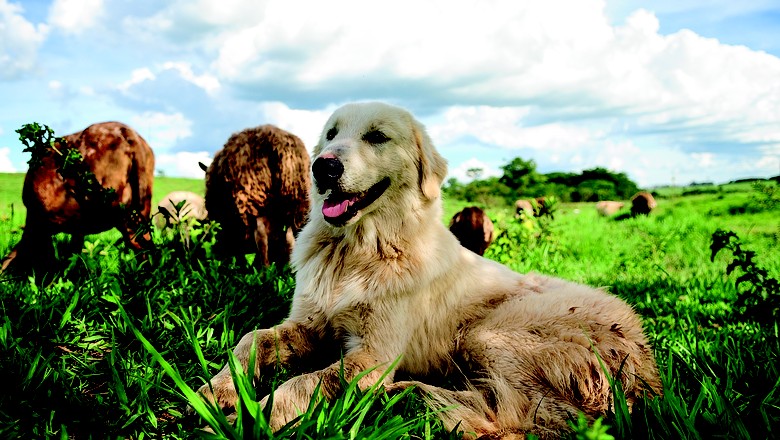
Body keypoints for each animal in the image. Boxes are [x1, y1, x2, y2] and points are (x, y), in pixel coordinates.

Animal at [0, 120, 155, 272]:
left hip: (114, 205)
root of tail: (128, 133)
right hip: (141, 203)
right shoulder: (77, 225)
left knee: (138, 243)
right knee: (145, 240)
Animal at [206, 124, 310, 268]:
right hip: (298, 199)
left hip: (253, 197)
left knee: (261, 234)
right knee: (292, 234)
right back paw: (288, 266)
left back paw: (265, 267)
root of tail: (277, 144)